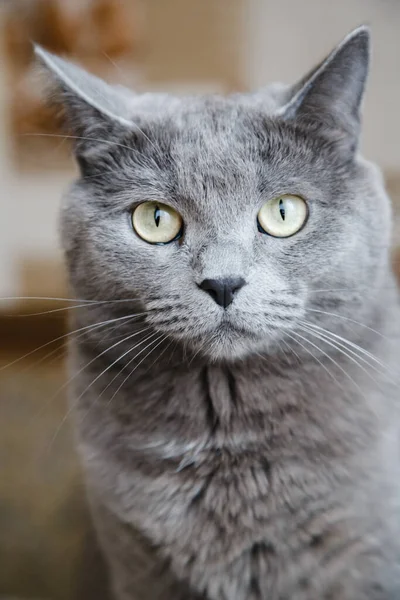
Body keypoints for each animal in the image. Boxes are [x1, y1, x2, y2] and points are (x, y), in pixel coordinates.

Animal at [35, 27, 400, 600]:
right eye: (154, 219)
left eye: (284, 212)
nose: (223, 283)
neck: (227, 437)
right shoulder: (137, 563)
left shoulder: (365, 557)